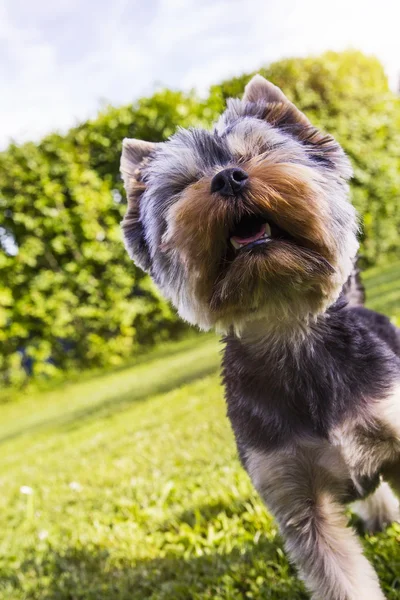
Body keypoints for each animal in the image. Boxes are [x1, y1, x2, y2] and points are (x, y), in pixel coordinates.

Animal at [119, 75, 400, 600]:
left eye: (259, 153)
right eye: (185, 184)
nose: (228, 178)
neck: (288, 330)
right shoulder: (293, 495)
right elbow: (339, 574)